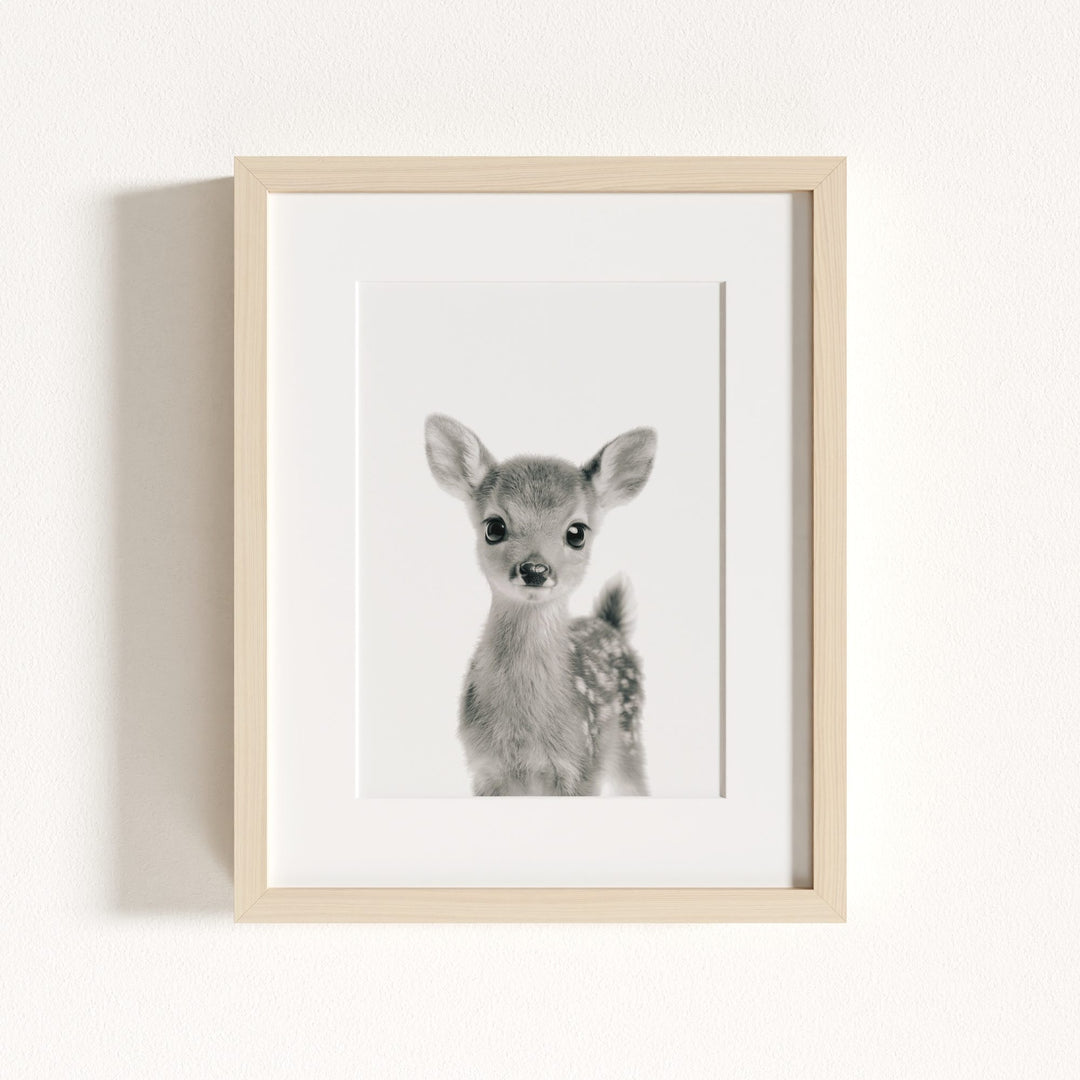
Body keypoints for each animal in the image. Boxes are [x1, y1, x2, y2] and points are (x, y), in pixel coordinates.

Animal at [424, 414, 657, 796]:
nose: (535, 569)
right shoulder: (484, 769)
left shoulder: (582, 766)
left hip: (629, 738)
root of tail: (610, 624)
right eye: (494, 527)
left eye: (577, 532)